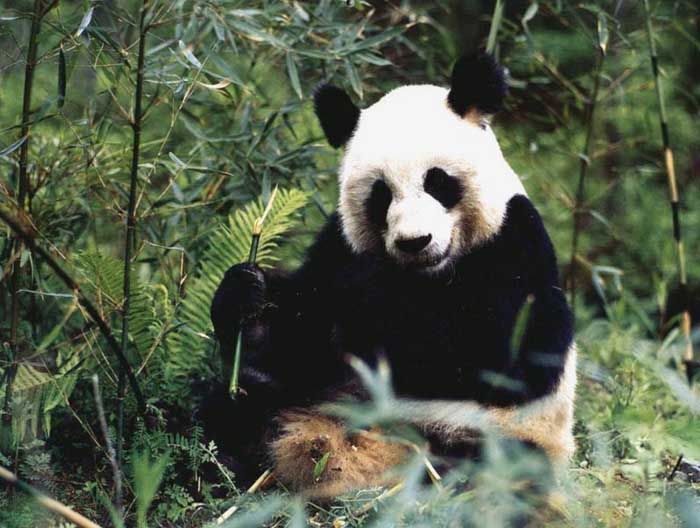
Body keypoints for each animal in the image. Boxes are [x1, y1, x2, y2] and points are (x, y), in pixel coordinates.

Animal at [205, 52, 576, 500]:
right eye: (380, 194)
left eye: (438, 181)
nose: (416, 242)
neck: (427, 276)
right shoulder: (338, 242)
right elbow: (302, 332)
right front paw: (247, 298)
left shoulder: (515, 241)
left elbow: (509, 355)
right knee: (230, 408)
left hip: (494, 433)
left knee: (496, 468)